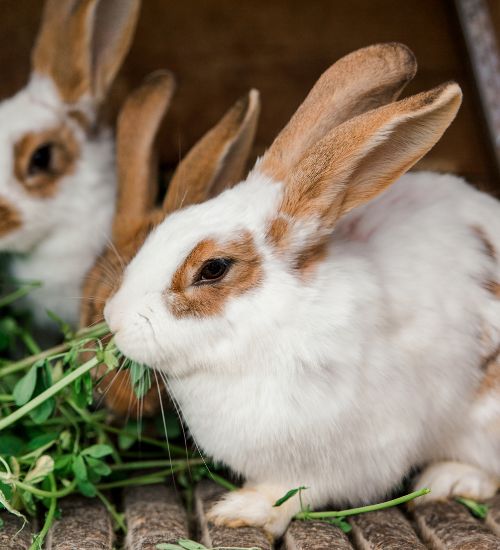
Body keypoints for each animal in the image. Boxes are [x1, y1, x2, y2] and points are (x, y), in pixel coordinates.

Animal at [102, 43, 500, 540]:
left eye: (213, 269)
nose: (113, 318)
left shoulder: (354, 452)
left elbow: (296, 491)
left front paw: (241, 509)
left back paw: (451, 478)